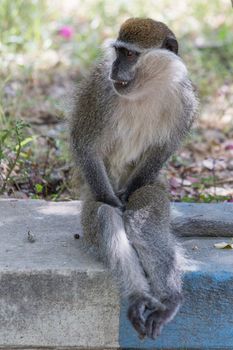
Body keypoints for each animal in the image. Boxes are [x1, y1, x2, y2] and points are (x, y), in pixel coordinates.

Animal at [69, 17, 198, 340]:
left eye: (129, 55)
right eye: (118, 52)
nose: (115, 69)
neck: (147, 88)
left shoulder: (186, 100)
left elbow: (163, 149)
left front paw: (128, 198)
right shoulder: (99, 89)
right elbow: (84, 143)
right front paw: (114, 202)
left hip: (156, 188)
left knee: (145, 216)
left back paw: (167, 300)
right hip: (90, 197)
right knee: (103, 216)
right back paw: (139, 296)